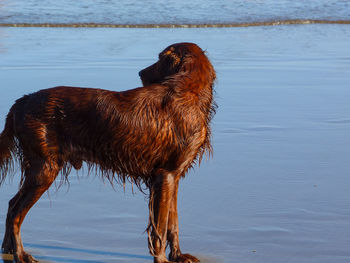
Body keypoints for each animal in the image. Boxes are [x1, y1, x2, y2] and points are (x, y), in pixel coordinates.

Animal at [0, 42, 216, 262]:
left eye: (159, 58)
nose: (140, 72)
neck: (188, 92)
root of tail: (22, 101)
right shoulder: (165, 175)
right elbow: (160, 228)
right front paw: (162, 259)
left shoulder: (173, 176)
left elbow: (173, 223)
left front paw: (178, 255)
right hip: (44, 168)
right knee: (16, 213)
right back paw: (21, 254)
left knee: (10, 206)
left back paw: (8, 249)